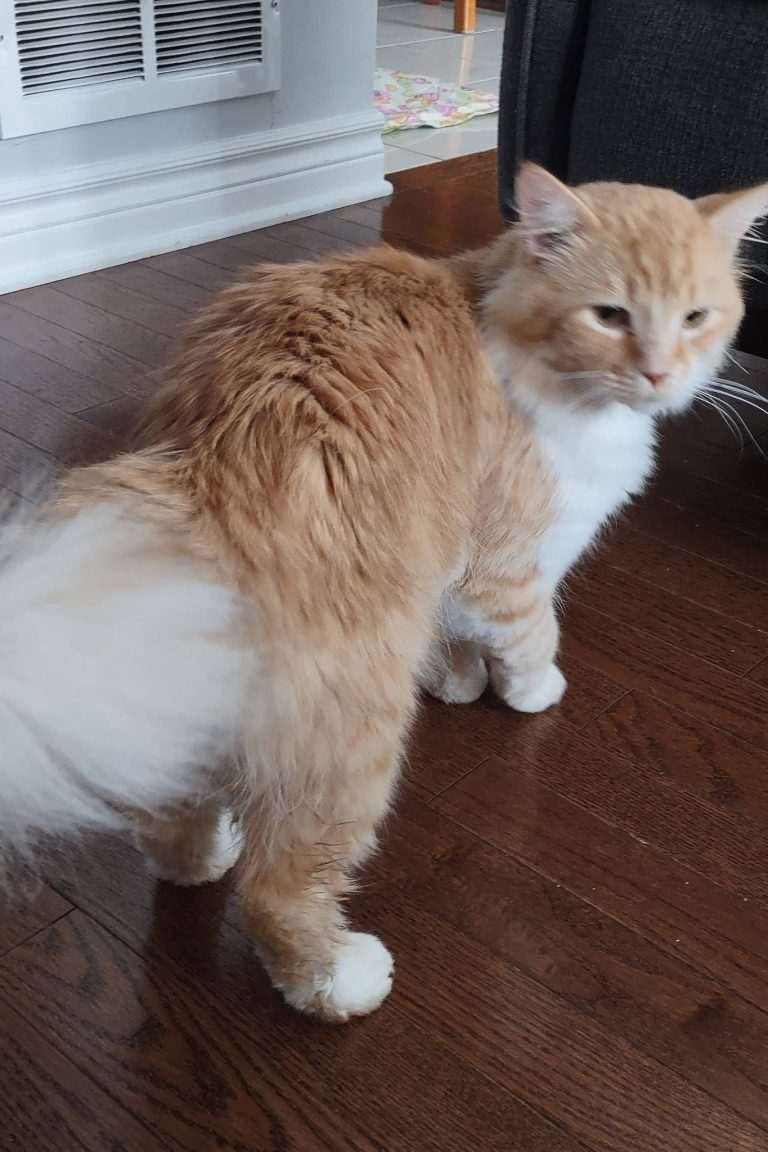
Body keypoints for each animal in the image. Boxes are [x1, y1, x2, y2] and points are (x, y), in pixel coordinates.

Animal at [0, 165, 765, 1023]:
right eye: (611, 316)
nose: (661, 374)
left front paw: (460, 686)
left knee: (170, 820)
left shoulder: (452, 577)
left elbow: (461, 646)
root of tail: (206, 482)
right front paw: (530, 693)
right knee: (276, 893)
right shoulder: (503, 566)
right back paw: (342, 980)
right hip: (354, 739)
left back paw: (203, 861)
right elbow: (532, 639)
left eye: (696, 317)